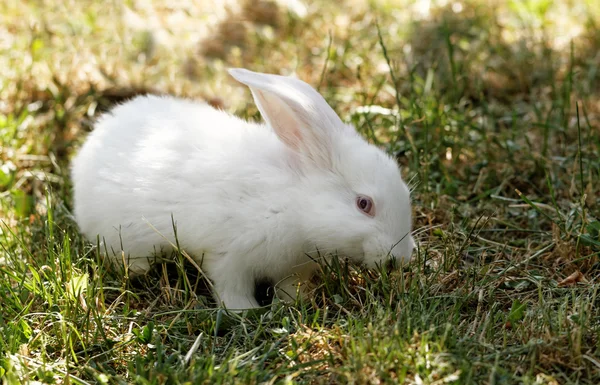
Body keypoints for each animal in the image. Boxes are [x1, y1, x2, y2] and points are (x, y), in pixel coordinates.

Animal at [72, 68, 414, 308]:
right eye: (364, 204)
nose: (402, 258)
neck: (294, 200)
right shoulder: (228, 256)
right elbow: (230, 287)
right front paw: (246, 312)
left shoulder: (293, 267)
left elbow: (289, 288)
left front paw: (295, 304)